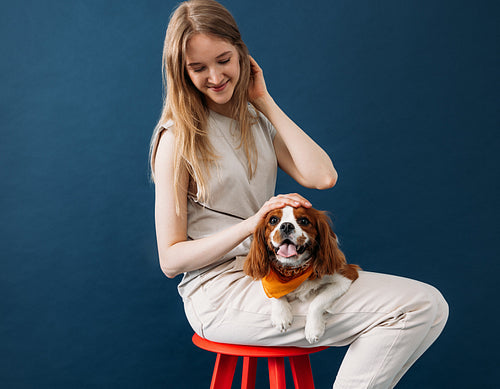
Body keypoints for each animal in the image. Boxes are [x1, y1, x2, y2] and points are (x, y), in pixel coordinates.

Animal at [243, 205, 358, 342]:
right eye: (273, 220)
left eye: (304, 221)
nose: (286, 226)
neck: (292, 270)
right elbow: (274, 294)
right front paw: (281, 315)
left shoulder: (346, 277)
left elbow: (318, 302)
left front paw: (313, 328)